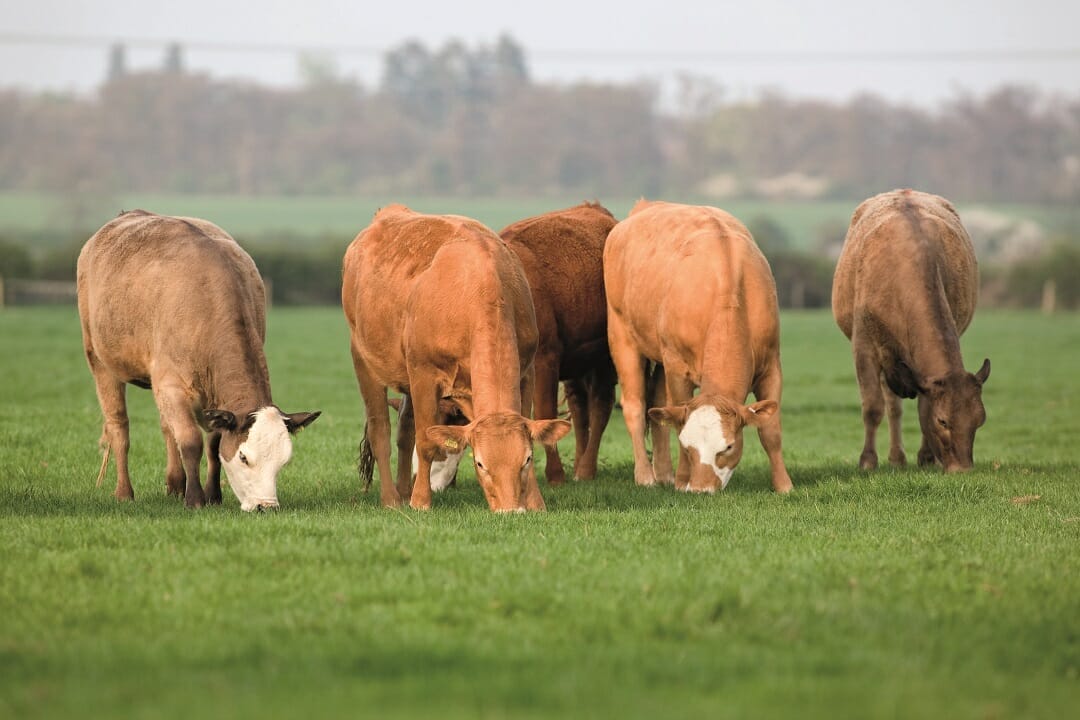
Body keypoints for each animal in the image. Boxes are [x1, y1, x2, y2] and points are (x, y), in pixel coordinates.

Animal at [76, 209, 319, 511]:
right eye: (244, 457)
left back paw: (175, 483)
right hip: (100, 361)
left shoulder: (211, 400)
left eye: (283, 462)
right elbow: (191, 441)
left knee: (166, 427)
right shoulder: (171, 385)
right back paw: (125, 492)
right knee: (119, 427)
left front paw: (213, 495)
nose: (266, 506)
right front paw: (195, 499)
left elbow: (213, 445)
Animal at [343, 202, 574, 511]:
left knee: (404, 430)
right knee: (381, 430)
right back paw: (392, 498)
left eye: (524, 460)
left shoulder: (527, 371)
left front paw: (536, 503)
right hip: (364, 359)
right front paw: (421, 502)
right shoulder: (424, 373)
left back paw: (404, 490)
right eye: (480, 464)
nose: (511, 510)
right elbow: (425, 441)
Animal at [496, 199, 617, 487]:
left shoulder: (545, 360)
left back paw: (585, 470)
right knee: (580, 409)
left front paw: (554, 475)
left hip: (605, 358)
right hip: (577, 363)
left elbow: (544, 413)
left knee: (601, 405)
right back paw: (580, 468)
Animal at [604, 202, 790, 496]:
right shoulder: (678, 368)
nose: (701, 489)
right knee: (635, 407)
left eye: (728, 446)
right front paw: (682, 481)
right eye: (689, 445)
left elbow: (770, 430)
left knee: (657, 408)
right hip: (622, 337)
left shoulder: (771, 366)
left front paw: (783, 485)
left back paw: (664, 474)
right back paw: (646, 476)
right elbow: (677, 416)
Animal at [829, 189, 989, 472]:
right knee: (892, 406)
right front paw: (867, 461)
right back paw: (895, 457)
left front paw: (926, 458)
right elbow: (873, 407)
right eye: (943, 421)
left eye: (980, 420)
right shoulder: (864, 347)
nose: (962, 470)